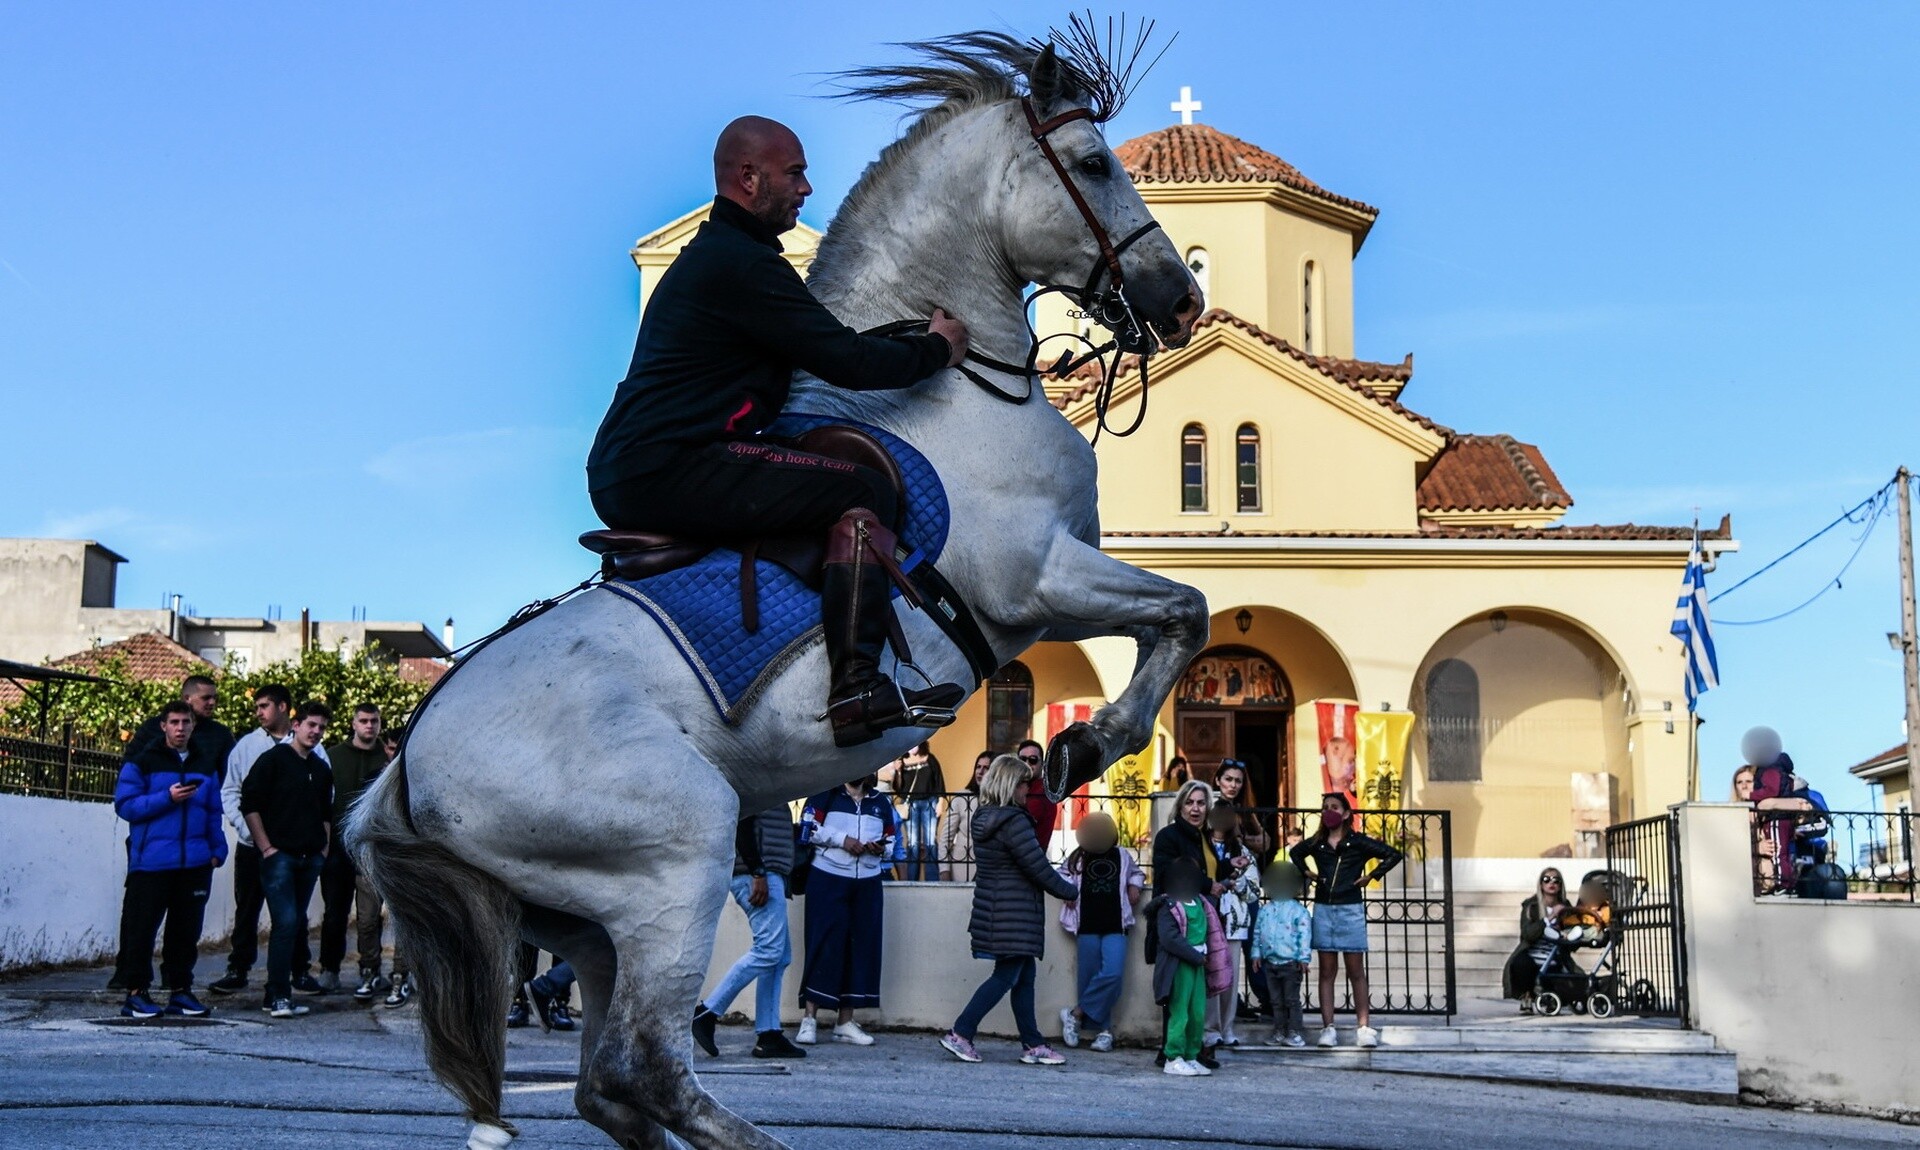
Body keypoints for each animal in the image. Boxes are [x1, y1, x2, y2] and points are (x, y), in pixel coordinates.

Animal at [353, 35, 1205, 1150]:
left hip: (588, 920)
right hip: (679, 853)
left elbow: (1176, 619)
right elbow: (1184, 612)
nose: (1182, 300)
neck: (952, 390)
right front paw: (1083, 748)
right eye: (1097, 164)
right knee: (645, 1066)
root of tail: (406, 766)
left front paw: (1071, 747)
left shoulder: (1051, 593)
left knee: (605, 1083)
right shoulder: (1038, 578)